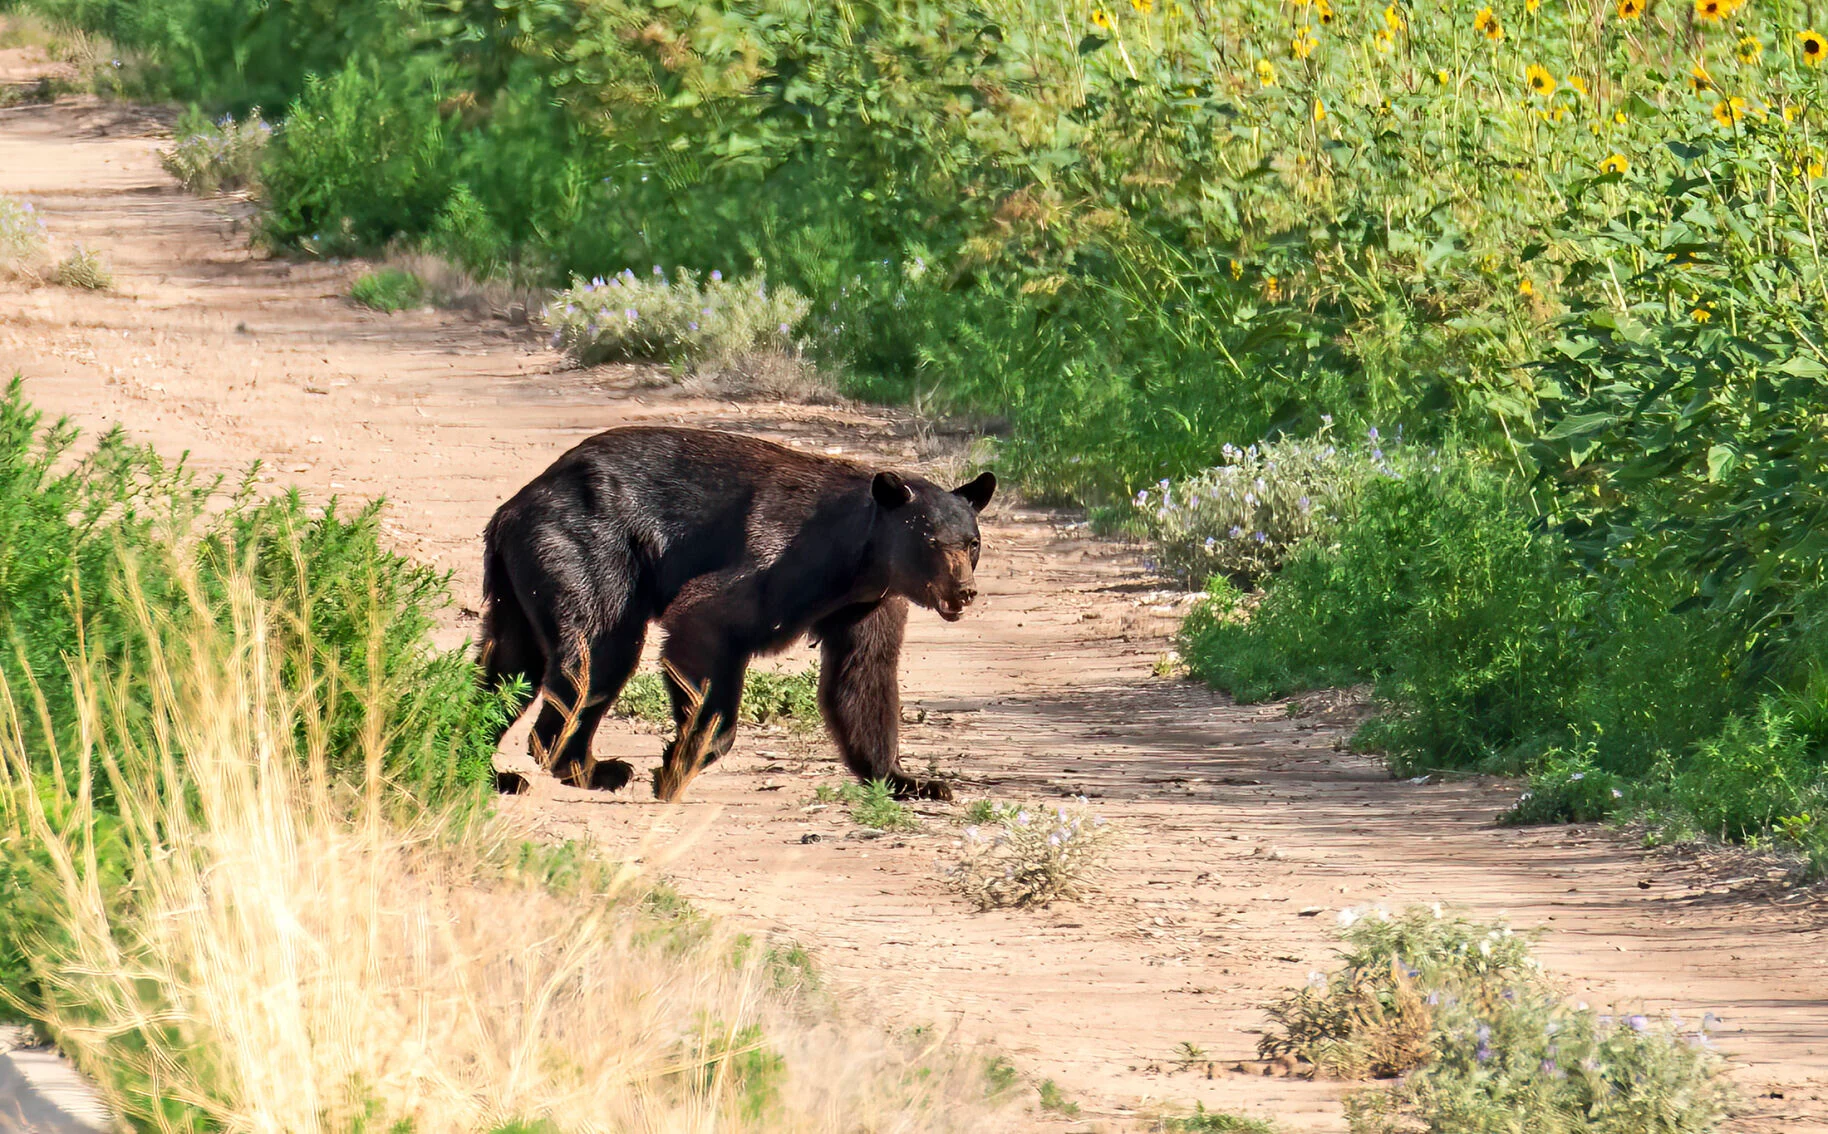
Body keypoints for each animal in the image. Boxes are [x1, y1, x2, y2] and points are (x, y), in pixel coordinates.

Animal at [478, 426, 995, 802]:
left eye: (972, 542)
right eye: (931, 542)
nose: (963, 591)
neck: (860, 557)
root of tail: (510, 509)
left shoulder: (869, 602)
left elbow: (864, 677)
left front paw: (912, 780)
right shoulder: (784, 559)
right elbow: (705, 623)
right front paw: (678, 763)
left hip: (519, 582)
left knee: (508, 668)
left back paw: (492, 768)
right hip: (584, 548)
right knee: (599, 649)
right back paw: (586, 764)